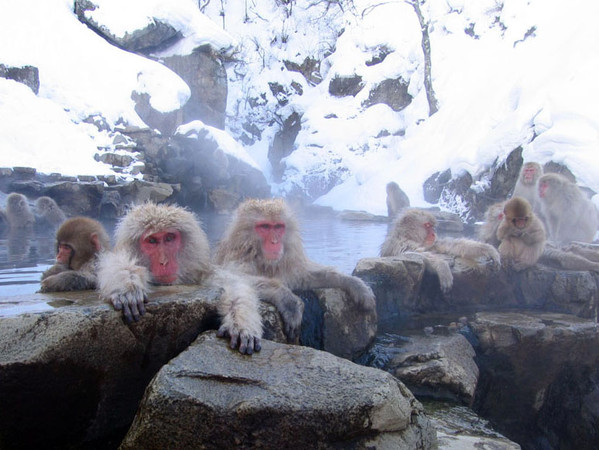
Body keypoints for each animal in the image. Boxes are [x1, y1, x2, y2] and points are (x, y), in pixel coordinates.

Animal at [98, 203, 262, 356]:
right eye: (152, 241)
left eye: (169, 238)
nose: (164, 262)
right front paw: (127, 286)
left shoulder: (202, 274)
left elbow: (234, 285)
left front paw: (241, 324)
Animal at [213, 197, 378, 342]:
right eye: (265, 227)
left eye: (278, 227)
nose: (274, 242)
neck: (263, 261)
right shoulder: (238, 259)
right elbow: (232, 278)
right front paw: (289, 300)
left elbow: (304, 277)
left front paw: (354, 283)